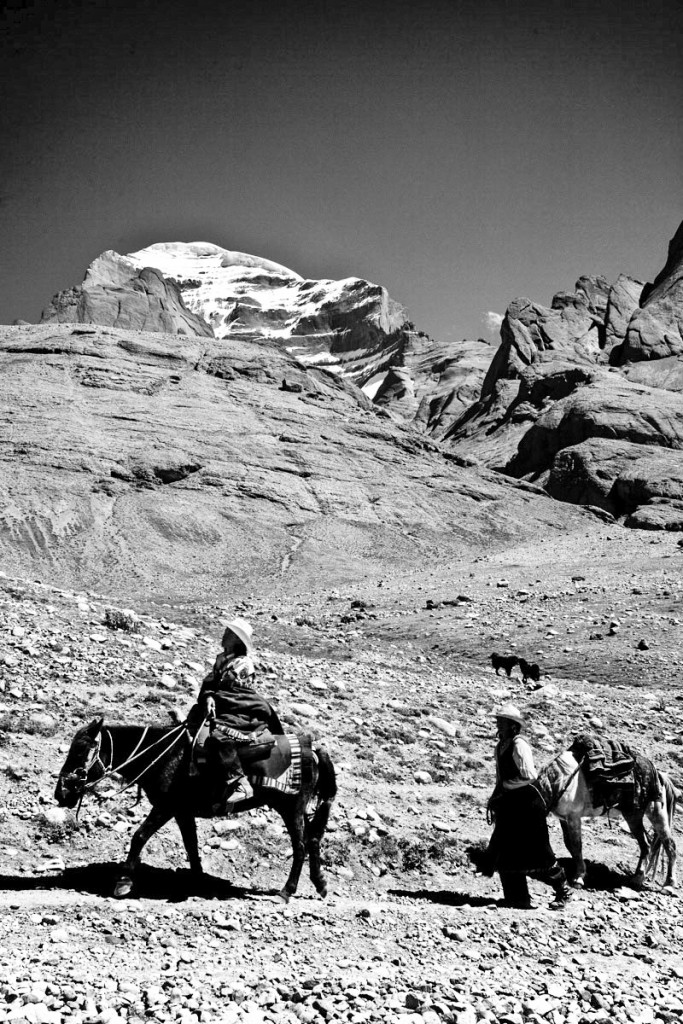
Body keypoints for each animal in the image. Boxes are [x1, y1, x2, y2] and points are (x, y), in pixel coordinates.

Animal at [54, 716, 337, 901]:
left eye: (79, 751)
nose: (61, 794)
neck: (163, 755)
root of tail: (312, 748)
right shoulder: (182, 812)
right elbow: (191, 845)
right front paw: (199, 883)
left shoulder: (166, 807)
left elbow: (139, 837)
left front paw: (123, 883)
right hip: (299, 810)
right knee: (313, 840)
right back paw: (320, 885)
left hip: (291, 808)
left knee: (300, 846)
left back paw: (286, 892)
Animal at [540, 753, 679, 888]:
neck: (560, 782)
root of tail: (660, 776)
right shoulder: (564, 819)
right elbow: (568, 844)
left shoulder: (574, 817)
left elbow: (576, 846)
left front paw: (578, 877)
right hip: (642, 816)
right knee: (652, 844)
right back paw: (641, 879)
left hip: (648, 815)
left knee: (663, 844)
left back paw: (666, 883)